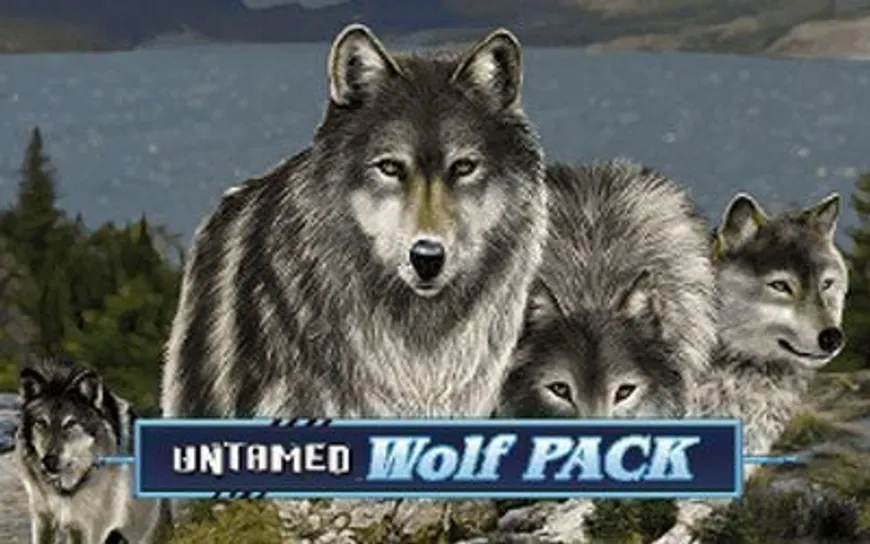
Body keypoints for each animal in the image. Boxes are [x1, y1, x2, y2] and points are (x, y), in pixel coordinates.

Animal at [15, 357, 169, 544]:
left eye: (70, 423)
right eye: (42, 423)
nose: (49, 460)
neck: (67, 489)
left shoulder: (89, 528)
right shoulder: (43, 520)